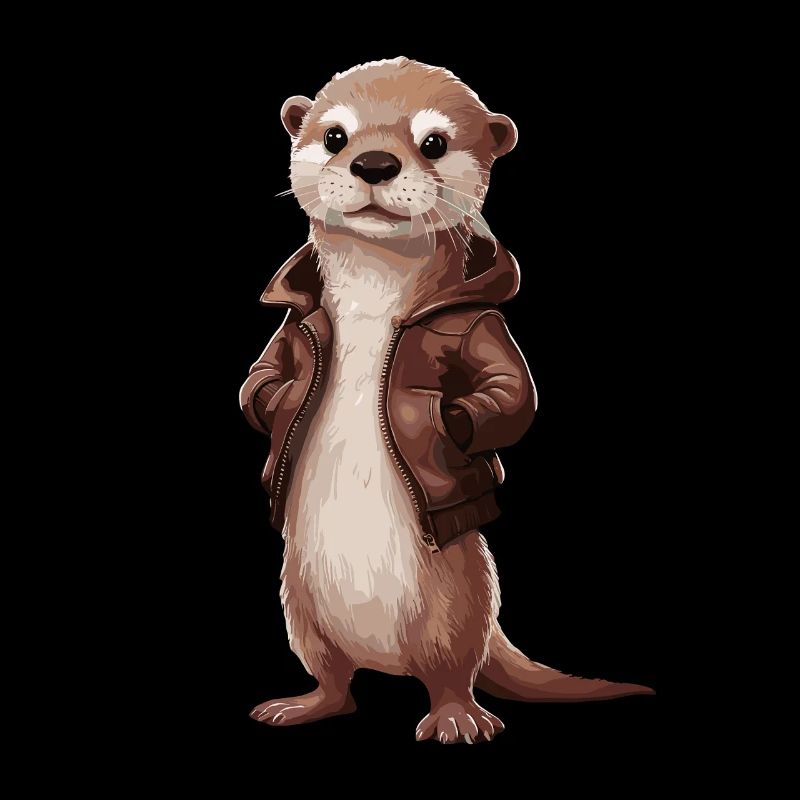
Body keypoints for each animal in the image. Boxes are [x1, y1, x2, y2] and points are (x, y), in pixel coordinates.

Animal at [240, 58, 653, 744]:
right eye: (335, 135)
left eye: (433, 141)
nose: (373, 162)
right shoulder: (291, 331)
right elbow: (261, 380)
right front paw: (275, 396)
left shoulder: (483, 326)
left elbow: (510, 396)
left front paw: (455, 420)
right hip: (299, 605)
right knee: (334, 680)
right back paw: (304, 704)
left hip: (456, 600)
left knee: (453, 669)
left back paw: (458, 719)